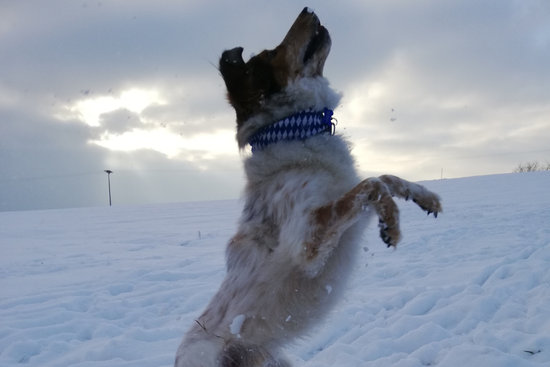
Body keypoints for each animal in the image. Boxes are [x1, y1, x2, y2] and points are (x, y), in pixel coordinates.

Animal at [177, 7, 444, 366]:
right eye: (270, 54)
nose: (308, 9)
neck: (293, 131)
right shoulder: (307, 242)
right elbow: (371, 183)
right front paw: (392, 222)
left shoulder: (350, 217)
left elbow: (384, 178)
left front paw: (424, 198)